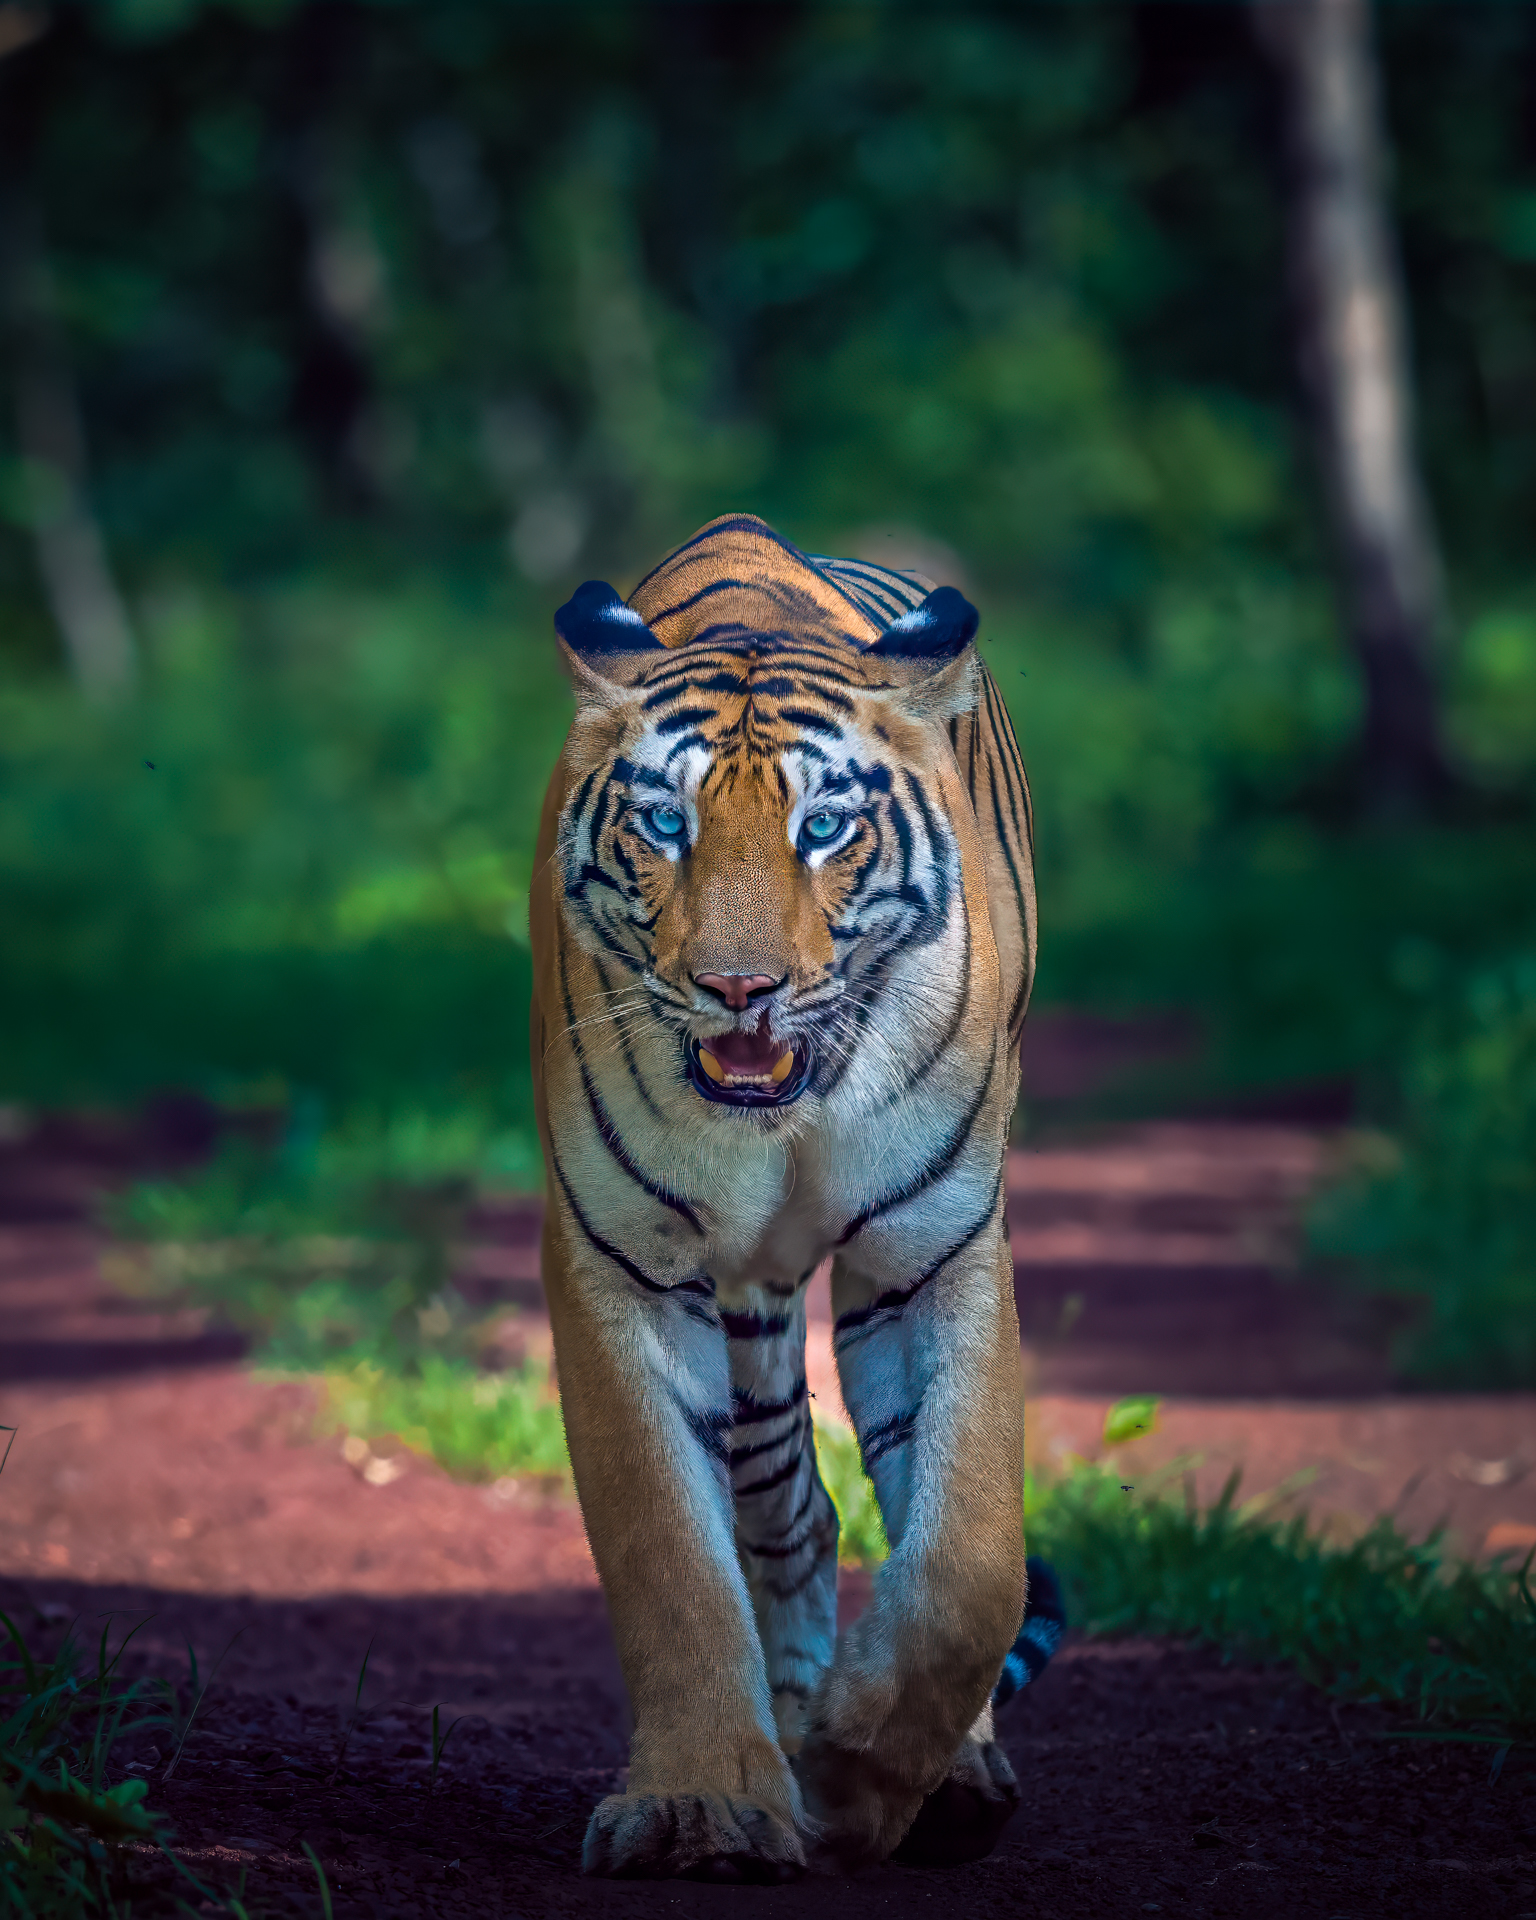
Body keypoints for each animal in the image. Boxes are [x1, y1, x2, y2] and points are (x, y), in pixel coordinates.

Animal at [528, 512, 1048, 1880]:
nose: (739, 988)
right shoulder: (622, 1260)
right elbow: (669, 1552)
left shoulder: (936, 1248)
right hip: (747, 1303)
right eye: (665, 824)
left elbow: (971, 1559)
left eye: (824, 828)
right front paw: (705, 1804)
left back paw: (947, 1766)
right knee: (789, 1509)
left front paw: (863, 1771)